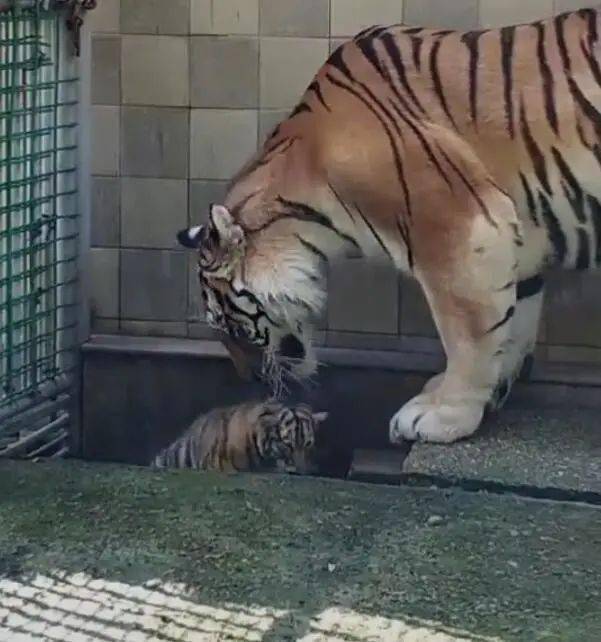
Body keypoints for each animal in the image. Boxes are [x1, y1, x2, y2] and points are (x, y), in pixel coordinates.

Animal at [178, 7, 600, 442]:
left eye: (228, 324)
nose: (249, 381)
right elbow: (511, 324)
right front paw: (485, 394)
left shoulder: (460, 227)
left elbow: (468, 333)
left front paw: (444, 415)